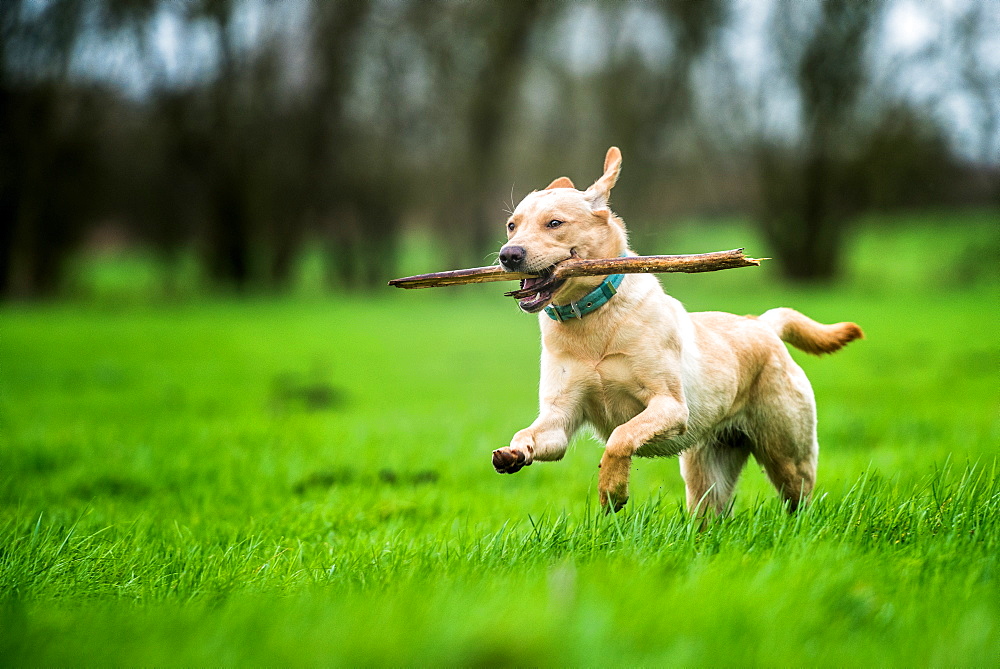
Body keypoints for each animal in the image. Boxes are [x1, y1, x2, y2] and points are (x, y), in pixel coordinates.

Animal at [490, 147, 860, 512]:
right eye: (511, 226)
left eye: (554, 223)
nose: (509, 255)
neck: (592, 318)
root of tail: (762, 324)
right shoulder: (559, 419)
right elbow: (530, 435)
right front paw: (513, 453)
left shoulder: (669, 406)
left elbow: (621, 436)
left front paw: (612, 489)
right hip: (707, 474)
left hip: (788, 457)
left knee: (801, 501)